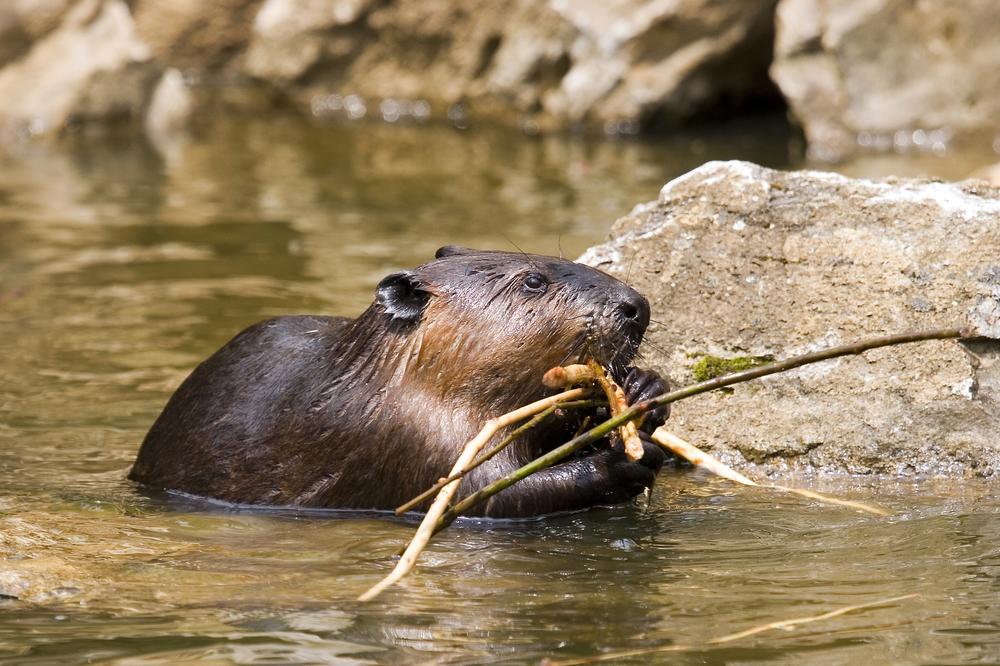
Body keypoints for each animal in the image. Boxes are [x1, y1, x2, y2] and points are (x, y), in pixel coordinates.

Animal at [129, 246, 668, 516]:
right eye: (534, 281)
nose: (637, 305)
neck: (379, 373)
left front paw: (646, 391)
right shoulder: (411, 433)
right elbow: (484, 494)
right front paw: (622, 460)